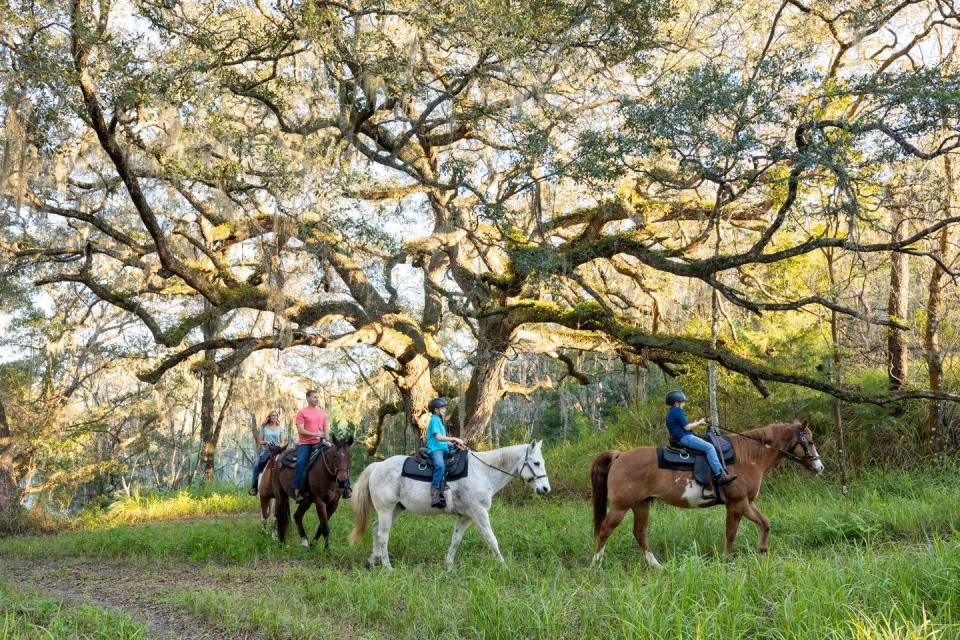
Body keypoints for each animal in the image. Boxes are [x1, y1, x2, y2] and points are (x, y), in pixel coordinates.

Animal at [348, 440, 552, 568]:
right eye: (536, 463)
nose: (545, 489)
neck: (483, 471)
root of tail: (377, 467)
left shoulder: (466, 517)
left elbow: (456, 540)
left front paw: (448, 566)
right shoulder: (479, 513)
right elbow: (491, 539)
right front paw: (504, 567)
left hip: (396, 509)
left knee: (376, 529)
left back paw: (373, 560)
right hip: (386, 509)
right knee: (383, 535)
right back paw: (387, 566)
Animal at [588, 422, 820, 568]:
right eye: (809, 441)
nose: (820, 467)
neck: (748, 456)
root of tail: (620, 455)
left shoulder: (746, 503)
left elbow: (765, 523)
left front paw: (762, 551)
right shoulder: (737, 503)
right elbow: (731, 533)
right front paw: (727, 559)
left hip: (641, 505)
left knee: (640, 533)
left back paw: (655, 565)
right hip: (621, 507)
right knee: (605, 529)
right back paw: (596, 563)